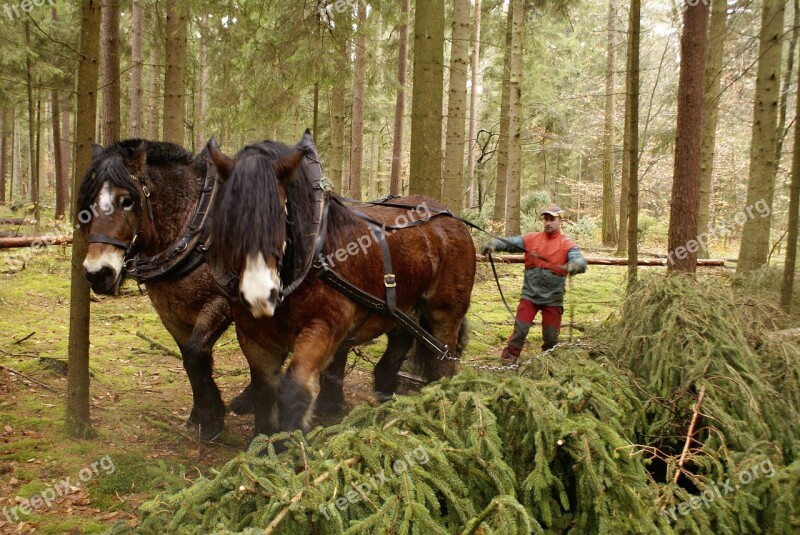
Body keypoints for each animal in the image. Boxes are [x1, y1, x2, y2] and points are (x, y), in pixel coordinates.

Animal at [206, 135, 478, 440]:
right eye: (226, 218)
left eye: (281, 213)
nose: (260, 297)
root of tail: (449, 215)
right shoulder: (252, 335)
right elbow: (265, 392)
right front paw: (265, 443)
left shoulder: (325, 326)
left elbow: (293, 389)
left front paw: (294, 443)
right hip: (403, 307)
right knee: (400, 342)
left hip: (445, 311)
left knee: (443, 357)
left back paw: (439, 406)